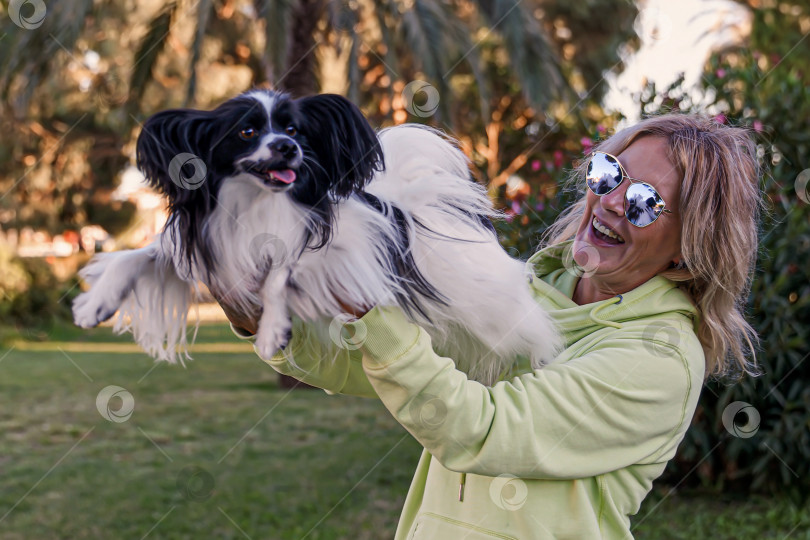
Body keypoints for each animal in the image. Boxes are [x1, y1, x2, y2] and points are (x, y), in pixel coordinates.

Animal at [72, 89, 560, 384]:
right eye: (247, 131)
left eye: (294, 131)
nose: (288, 148)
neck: (258, 200)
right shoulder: (206, 248)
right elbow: (135, 256)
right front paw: (97, 302)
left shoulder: (337, 253)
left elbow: (281, 270)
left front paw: (272, 330)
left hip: (489, 305)